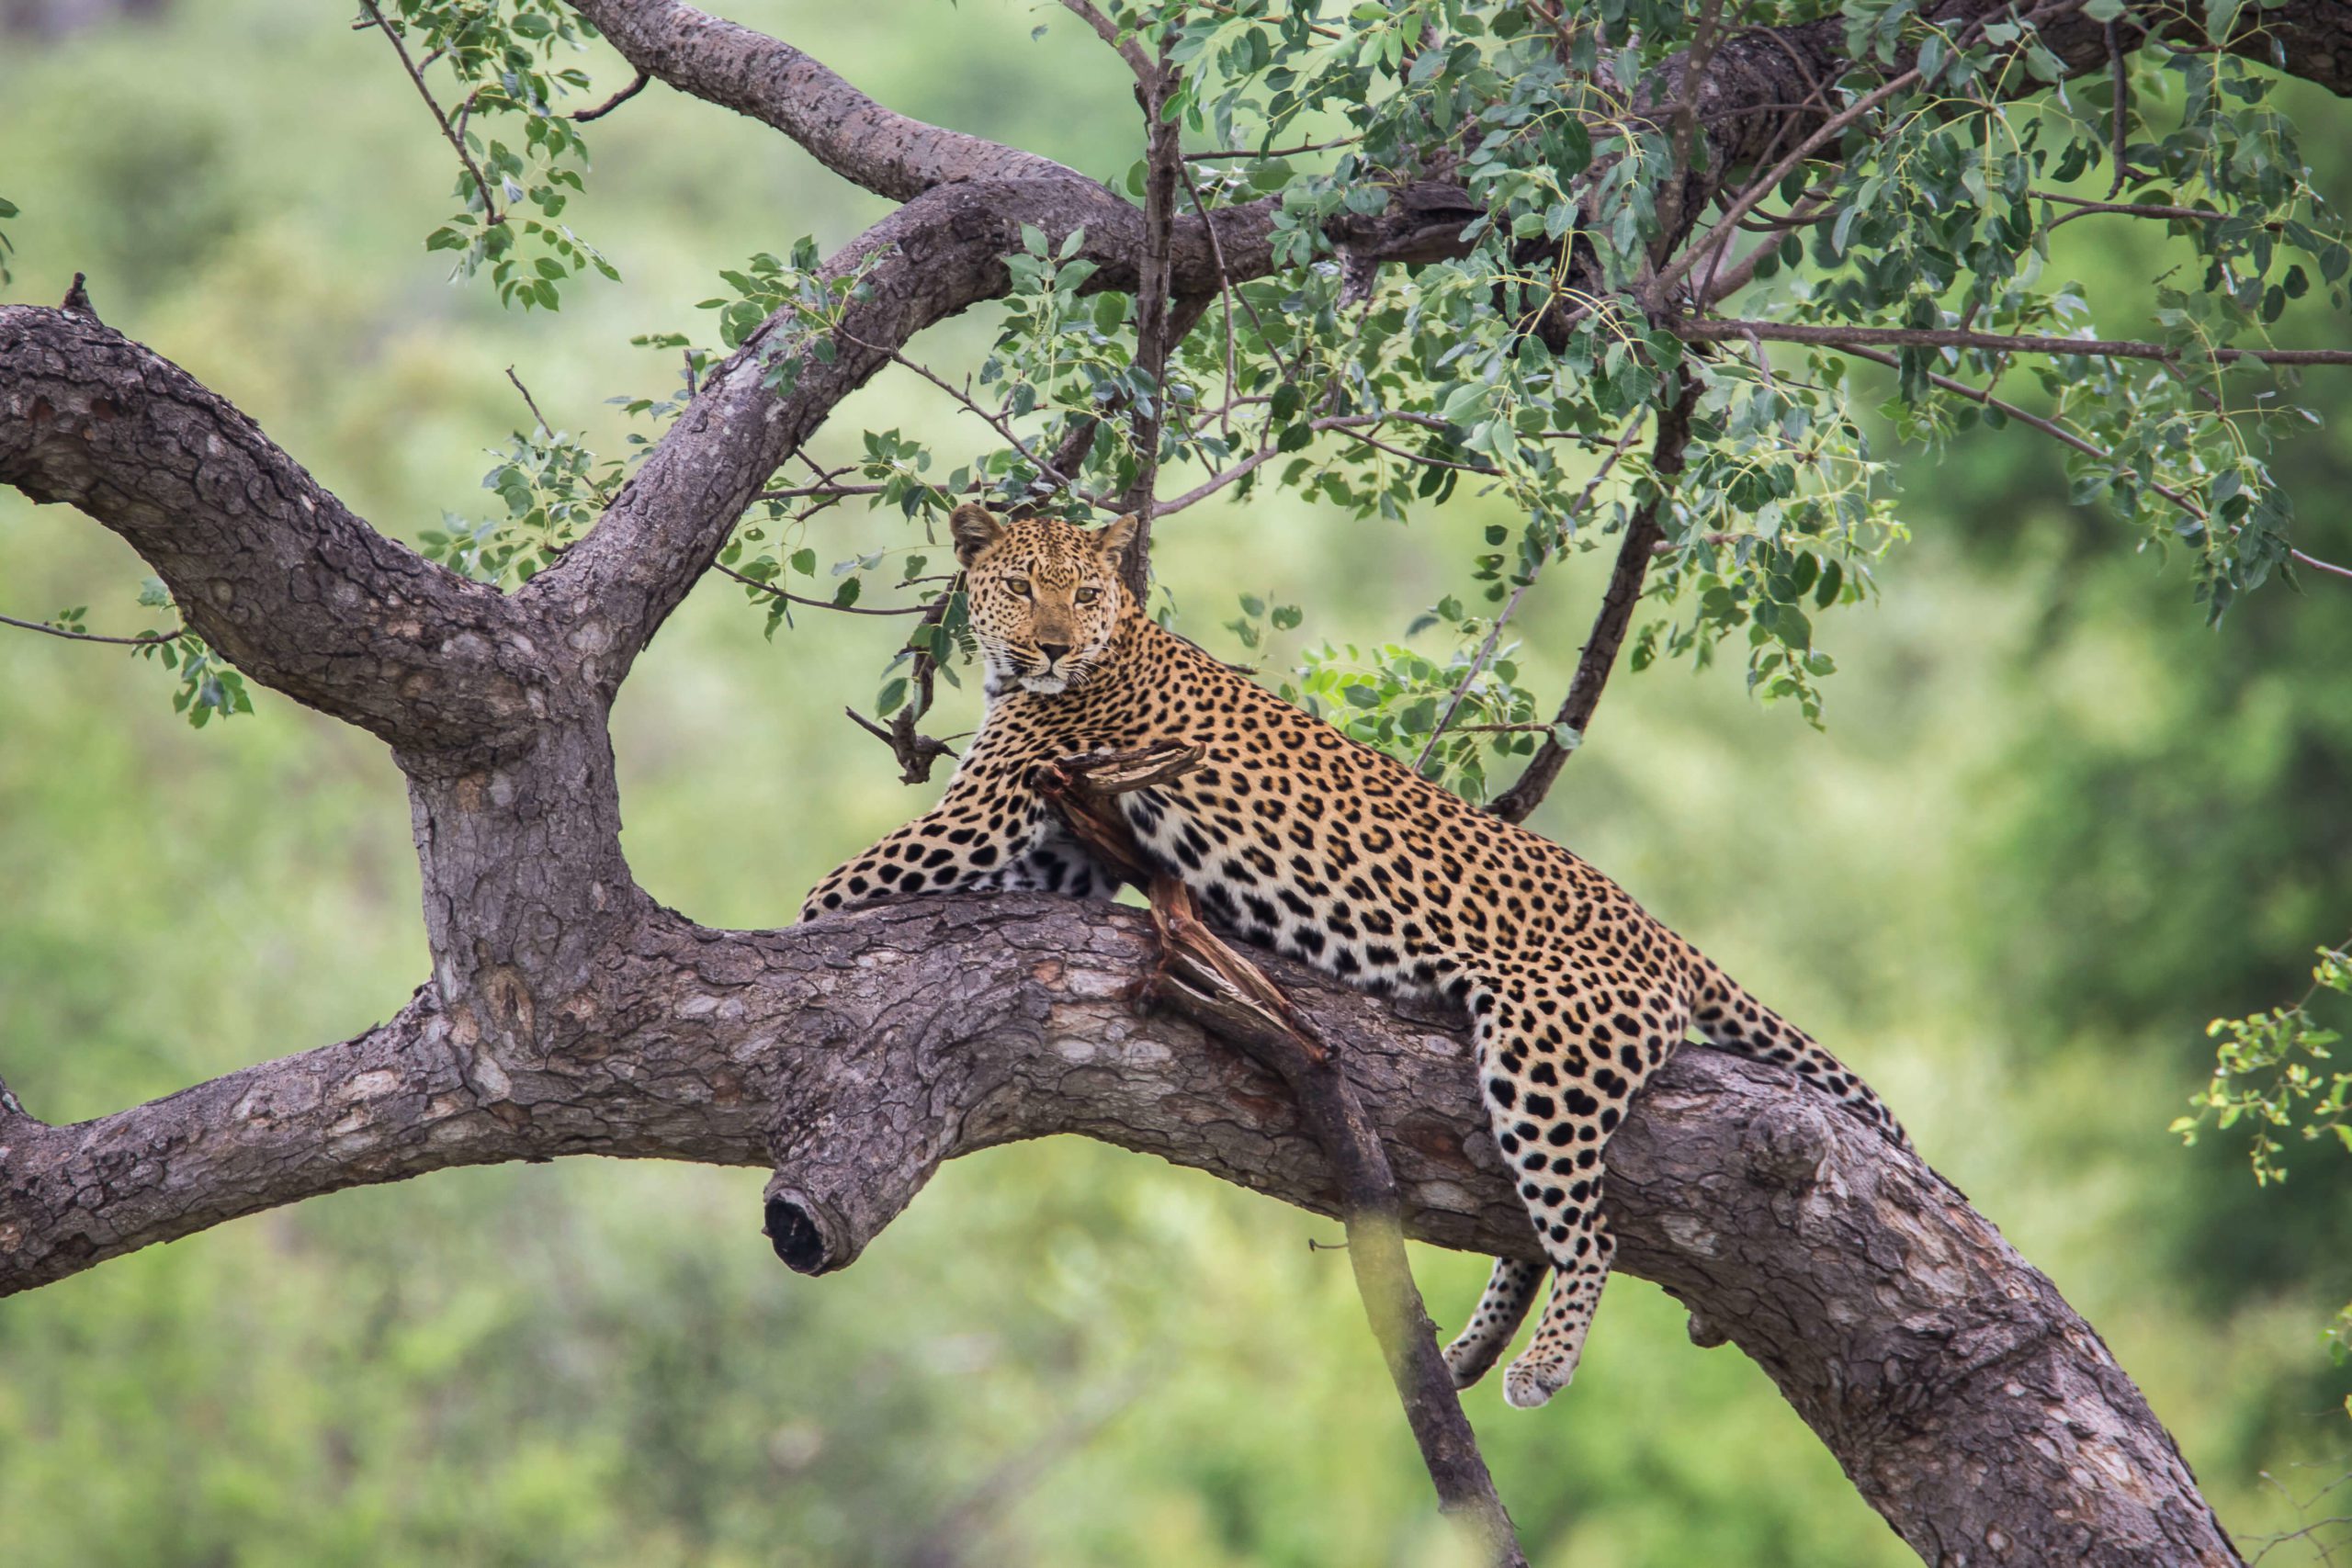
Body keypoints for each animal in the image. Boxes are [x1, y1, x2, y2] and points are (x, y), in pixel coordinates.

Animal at [808, 505, 1909, 1410]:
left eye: (1083, 594)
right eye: (1022, 583)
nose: (1051, 645)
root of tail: (1661, 931)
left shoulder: (977, 824)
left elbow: (825, 893)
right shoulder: (1056, 851)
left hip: (1546, 1053)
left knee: (1585, 1229)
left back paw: (1543, 1366)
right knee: (1525, 1227)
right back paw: (1468, 1353)